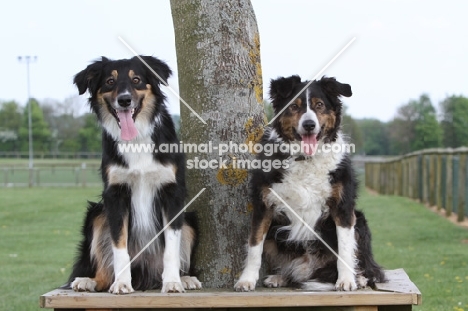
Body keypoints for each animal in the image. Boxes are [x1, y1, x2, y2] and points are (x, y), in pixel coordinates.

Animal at [66, 56, 201, 294]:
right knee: (104, 269)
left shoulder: (172, 192)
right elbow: (119, 246)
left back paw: (185, 278)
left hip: (190, 221)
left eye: (136, 79)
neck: (136, 140)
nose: (124, 100)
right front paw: (122, 283)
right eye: (110, 81)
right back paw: (88, 281)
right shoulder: (115, 194)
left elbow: (171, 246)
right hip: (97, 214)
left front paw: (173, 282)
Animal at [234, 75, 384, 292]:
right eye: (294, 106)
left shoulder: (343, 207)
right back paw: (280, 277)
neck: (305, 159)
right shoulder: (264, 204)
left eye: (319, 105)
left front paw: (346, 280)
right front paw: (246, 279)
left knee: (371, 267)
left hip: (360, 220)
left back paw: (361, 278)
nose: (309, 125)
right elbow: (255, 245)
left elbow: (345, 249)